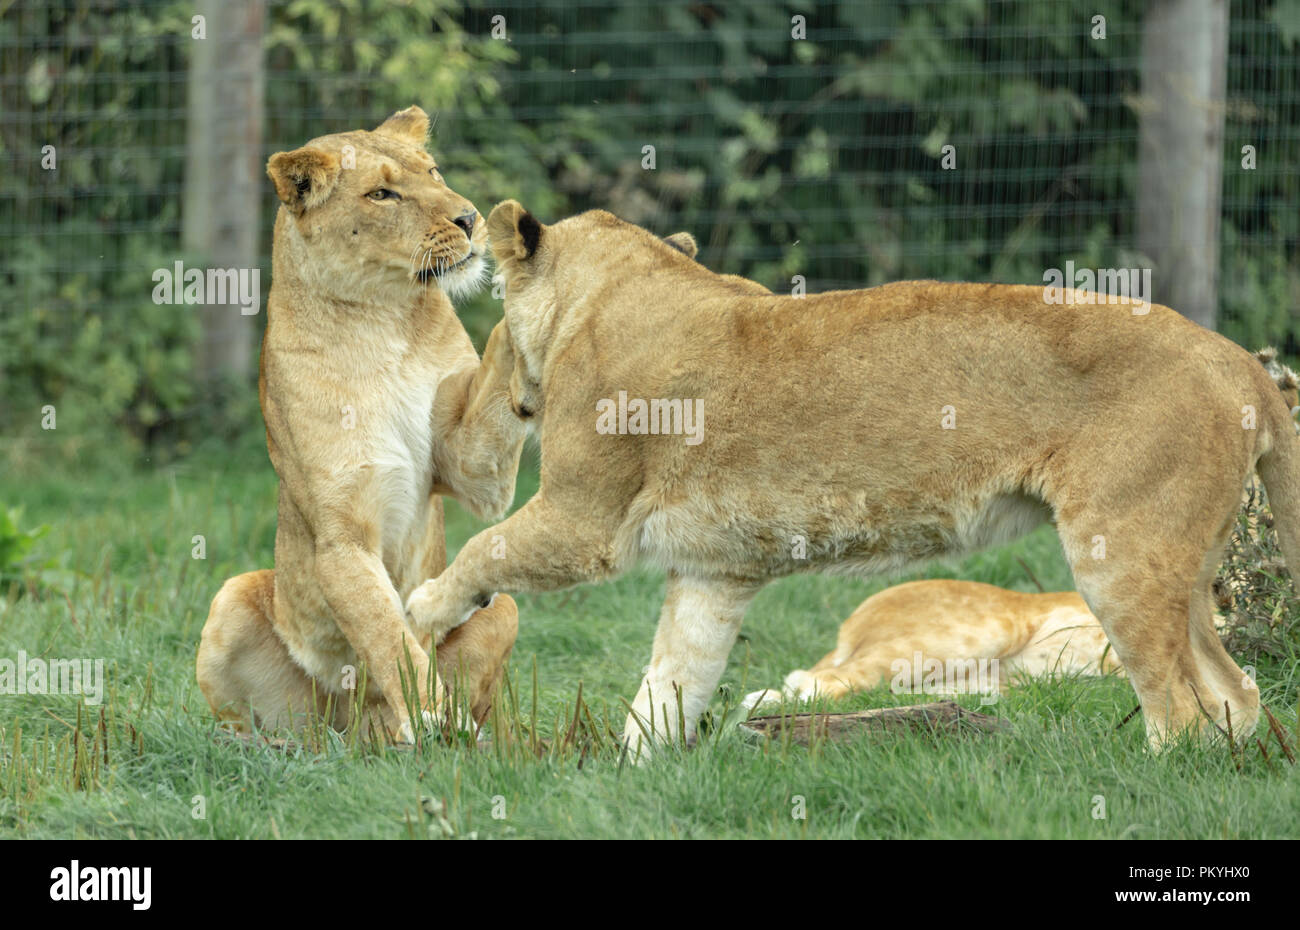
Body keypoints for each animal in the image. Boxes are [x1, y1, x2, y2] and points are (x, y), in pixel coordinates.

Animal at [191, 105, 522, 738]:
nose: (470, 219)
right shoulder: (342, 536)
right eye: (382, 194)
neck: (382, 320)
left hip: (504, 607)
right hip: (233, 600)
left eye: (433, 171)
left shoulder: (475, 471)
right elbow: (387, 636)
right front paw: (431, 720)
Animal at [405, 201, 1300, 754]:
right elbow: (672, 682)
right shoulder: (712, 572)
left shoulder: (582, 520)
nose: (495, 393)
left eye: (492, 332)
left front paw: (420, 608)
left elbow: (485, 550)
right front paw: (630, 775)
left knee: (1181, 707)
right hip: (1183, 565)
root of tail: (1242, 364)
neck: (600, 298)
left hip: (1121, 553)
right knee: (1235, 694)